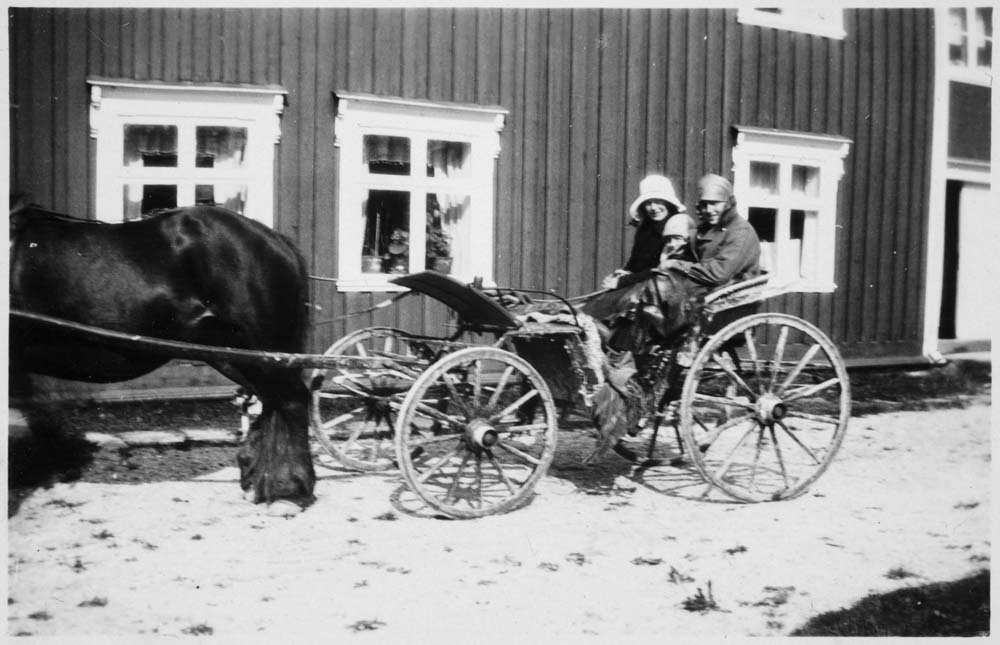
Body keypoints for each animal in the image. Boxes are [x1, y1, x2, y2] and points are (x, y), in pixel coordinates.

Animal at [8, 204, 316, 506]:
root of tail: (275, 239)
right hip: (232, 353)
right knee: (273, 401)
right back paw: (258, 479)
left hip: (262, 346)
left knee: (292, 401)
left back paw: (293, 490)